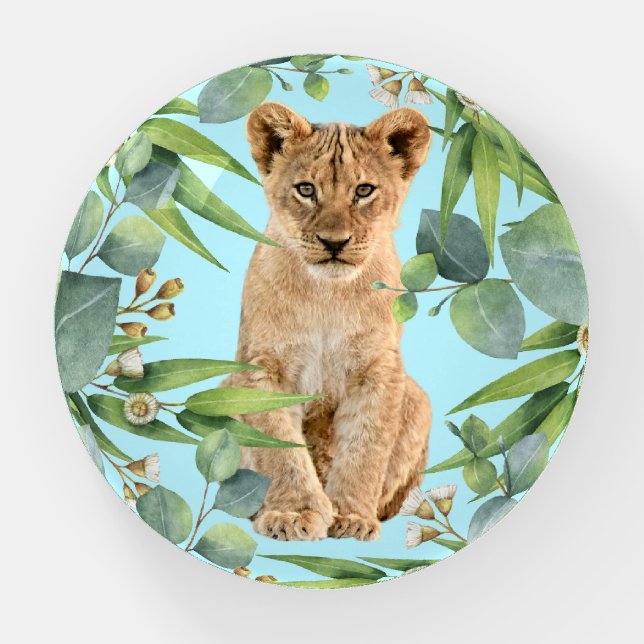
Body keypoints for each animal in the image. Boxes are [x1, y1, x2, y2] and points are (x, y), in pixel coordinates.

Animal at [225, 102, 432, 541]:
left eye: (364, 191)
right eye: (306, 190)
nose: (334, 243)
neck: (327, 295)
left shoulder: (378, 368)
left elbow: (365, 449)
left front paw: (352, 518)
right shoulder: (262, 367)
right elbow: (279, 449)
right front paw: (292, 514)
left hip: (418, 399)